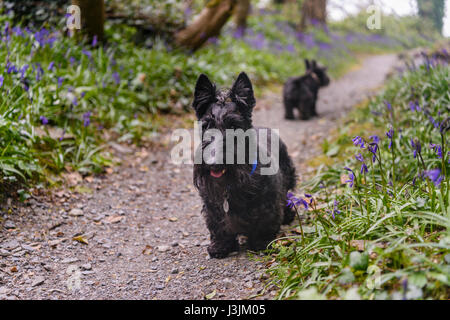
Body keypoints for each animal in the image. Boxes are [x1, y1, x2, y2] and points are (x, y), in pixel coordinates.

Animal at [192, 72, 298, 258]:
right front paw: (220, 247)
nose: (213, 164)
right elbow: (218, 227)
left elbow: (266, 223)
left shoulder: (268, 203)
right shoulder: (212, 207)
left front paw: (262, 243)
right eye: (206, 126)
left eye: (234, 126)